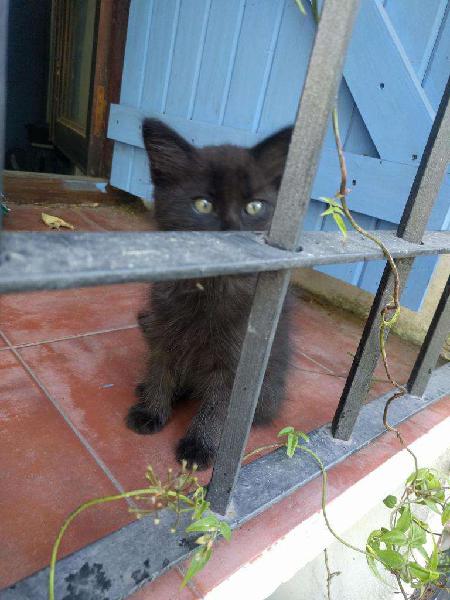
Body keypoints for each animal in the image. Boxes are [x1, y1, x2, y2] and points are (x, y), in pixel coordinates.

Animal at [127, 118, 296, 468]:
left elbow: (219, 405)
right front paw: (151, 410)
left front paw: (199, 446)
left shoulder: (236, 360)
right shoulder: (162, 330)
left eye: (254, 207)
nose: (231, 230)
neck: (211, 287)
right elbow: (160, 370)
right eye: (202, 205)